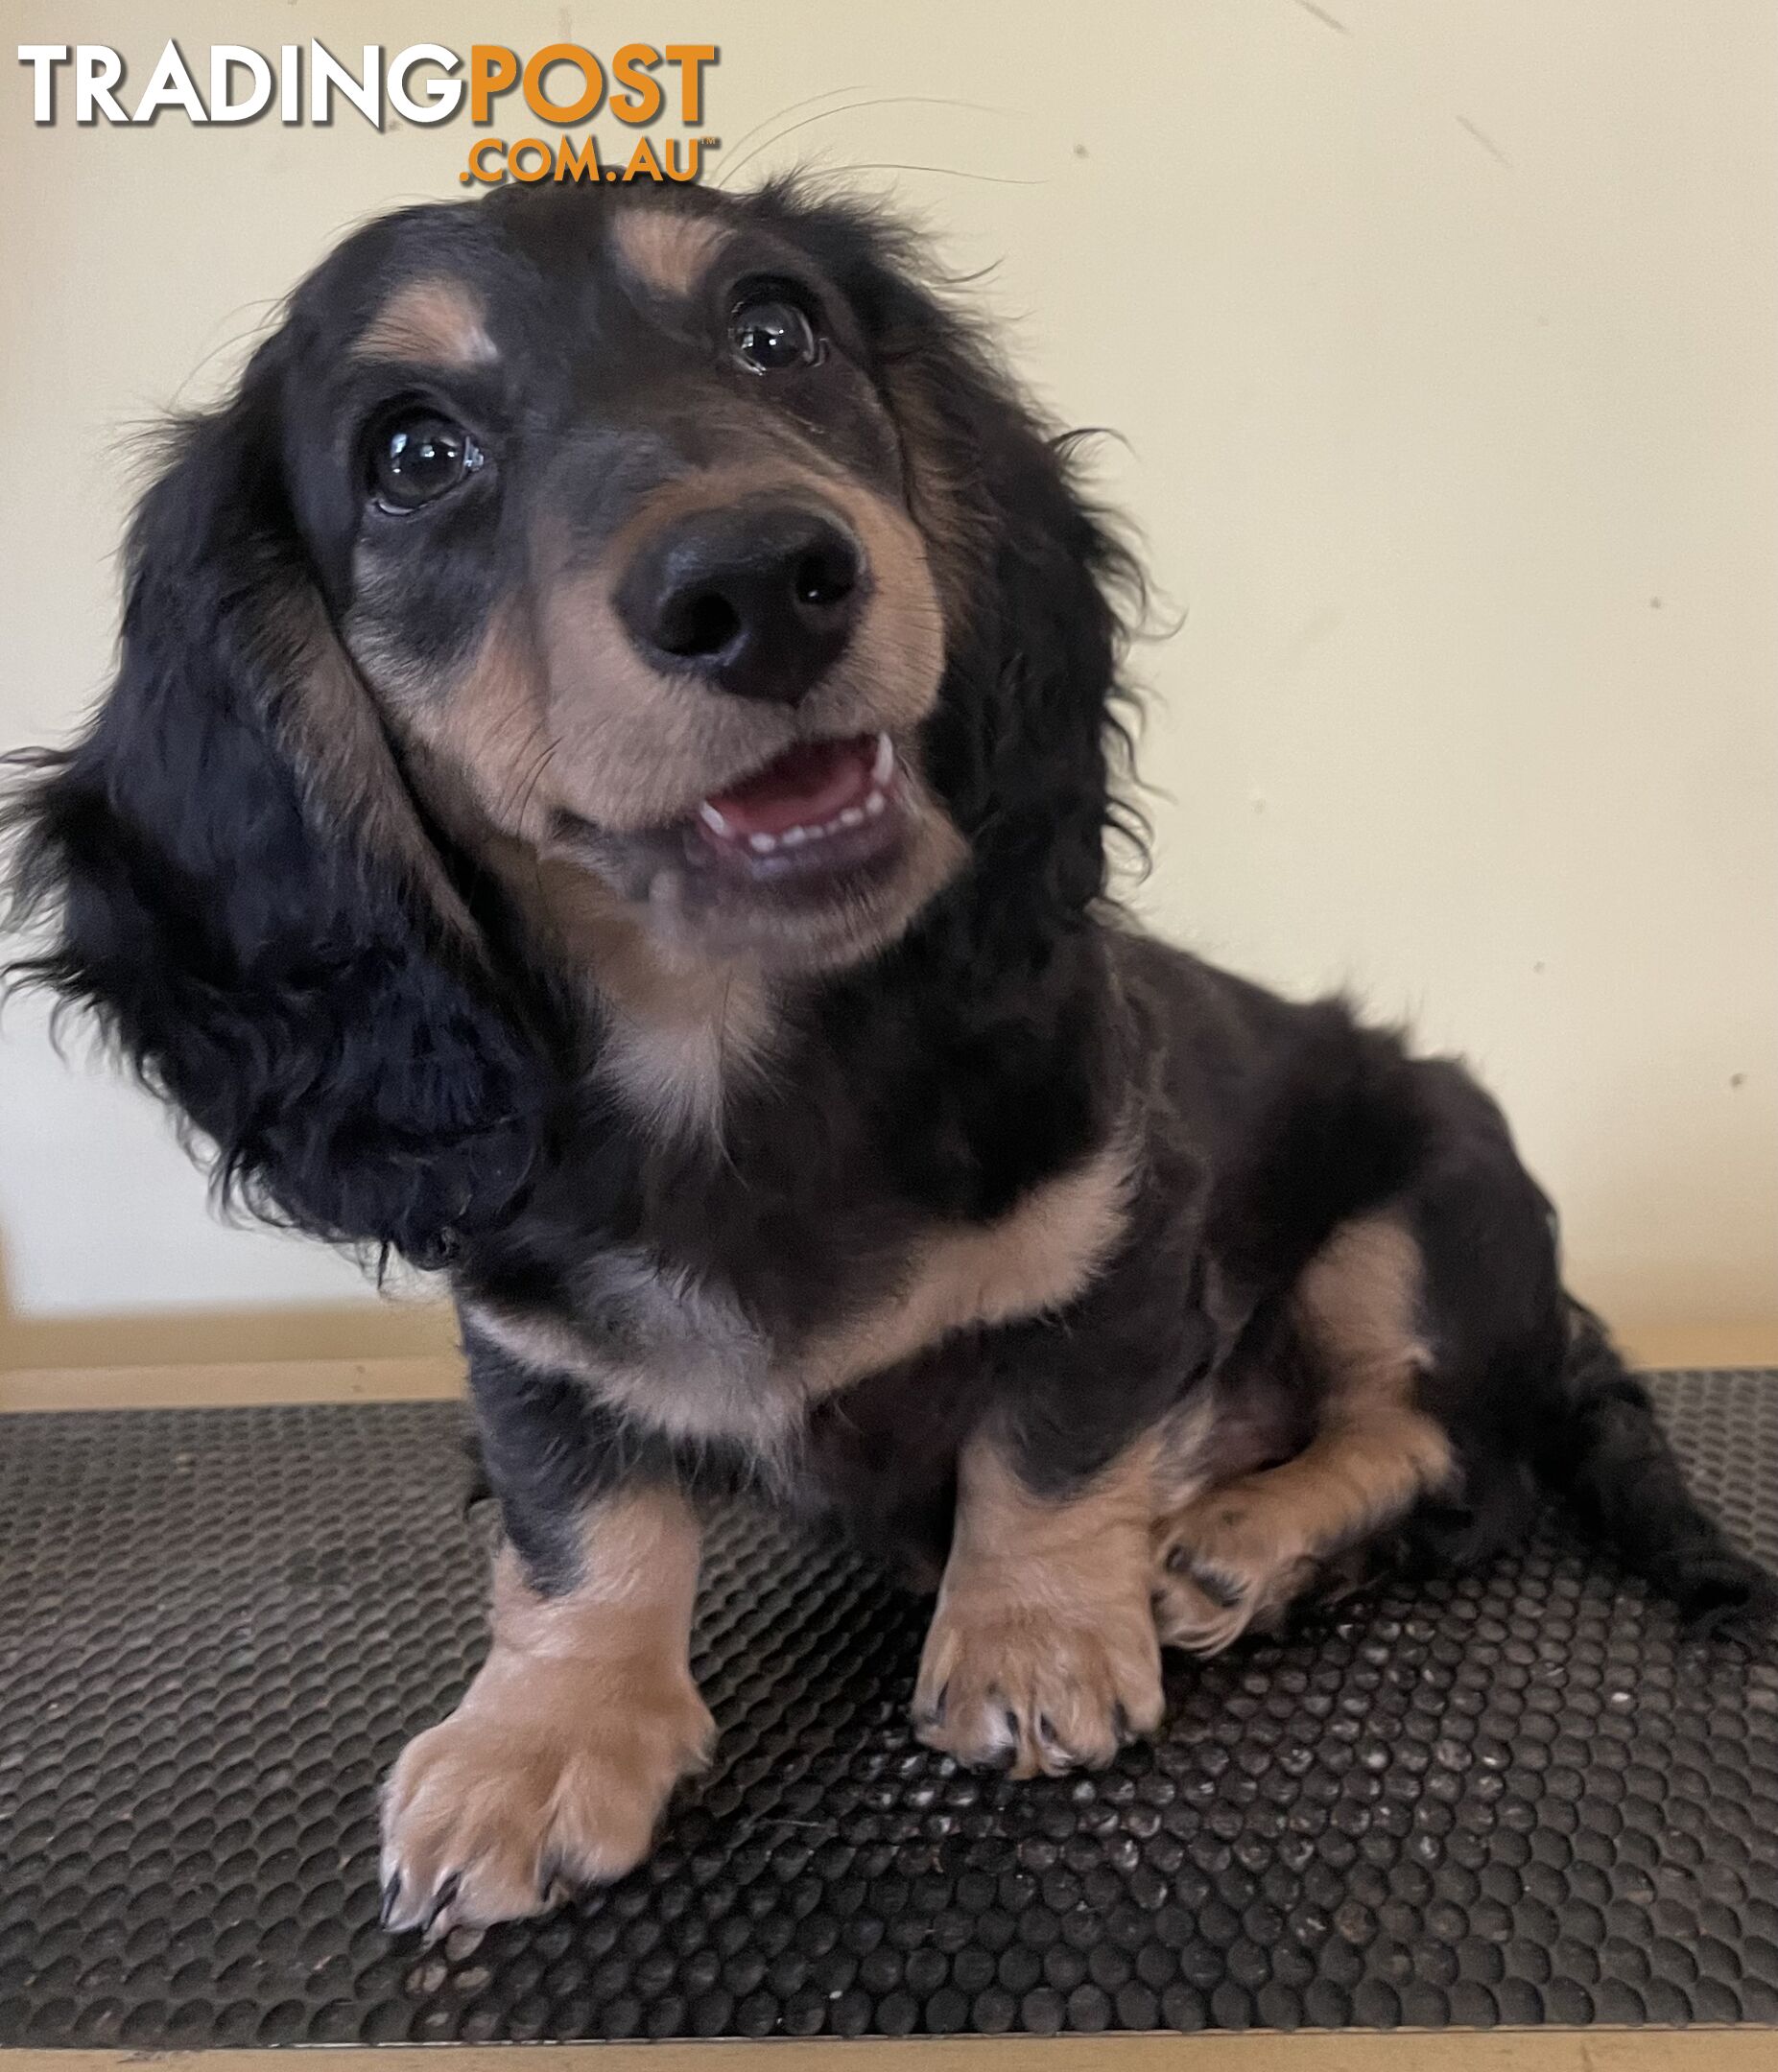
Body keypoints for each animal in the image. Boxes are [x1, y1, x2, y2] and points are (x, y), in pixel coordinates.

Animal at [7, 177, 1766, 1939]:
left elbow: (1050, 1445)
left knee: (1442, 1451)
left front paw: (1035, 1641)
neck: (738, 1060)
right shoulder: (530, 1344)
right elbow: (579, 1527)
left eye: (773, 331)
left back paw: (1238, 1542)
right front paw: (543, 1732)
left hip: (1419, 1202)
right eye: (412, 455)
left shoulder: (1119, 1236)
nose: (765, 581)